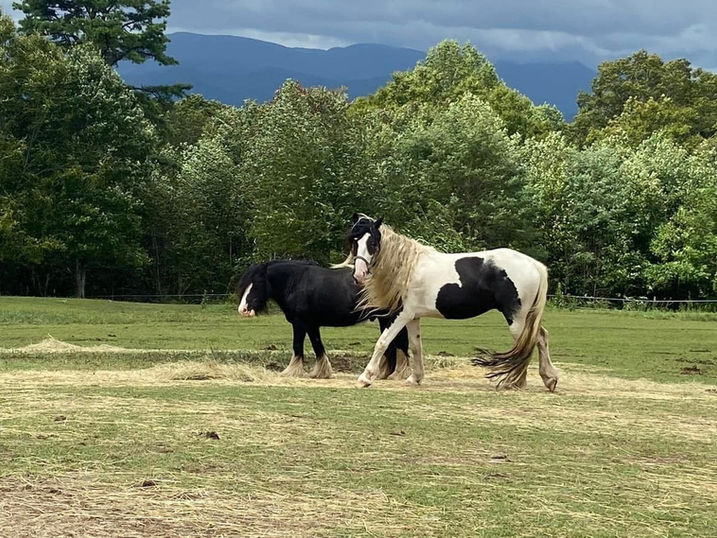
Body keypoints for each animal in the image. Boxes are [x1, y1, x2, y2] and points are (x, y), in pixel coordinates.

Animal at [236, 260, 410, 379]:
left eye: (257, 283)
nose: (243, 310)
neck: (295, 282)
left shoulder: (299, 323)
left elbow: (297, 346)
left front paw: (290, 371)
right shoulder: (311, 325)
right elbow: (317, 346)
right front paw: (321, 372)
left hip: (388, 319)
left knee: (396, 345)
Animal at [346, 214, 559, 391]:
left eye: (373, 242)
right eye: (354, 241)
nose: (359, 275)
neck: (409, 268)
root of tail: (535, 265)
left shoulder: (402, 314)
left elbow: (383, 342)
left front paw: (365, 378)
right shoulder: (413, 317)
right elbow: (416, 346)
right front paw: (415, 378)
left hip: (517, 319)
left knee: (529, 343)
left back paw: (517, 381)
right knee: (541, 337)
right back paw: (547, 379)